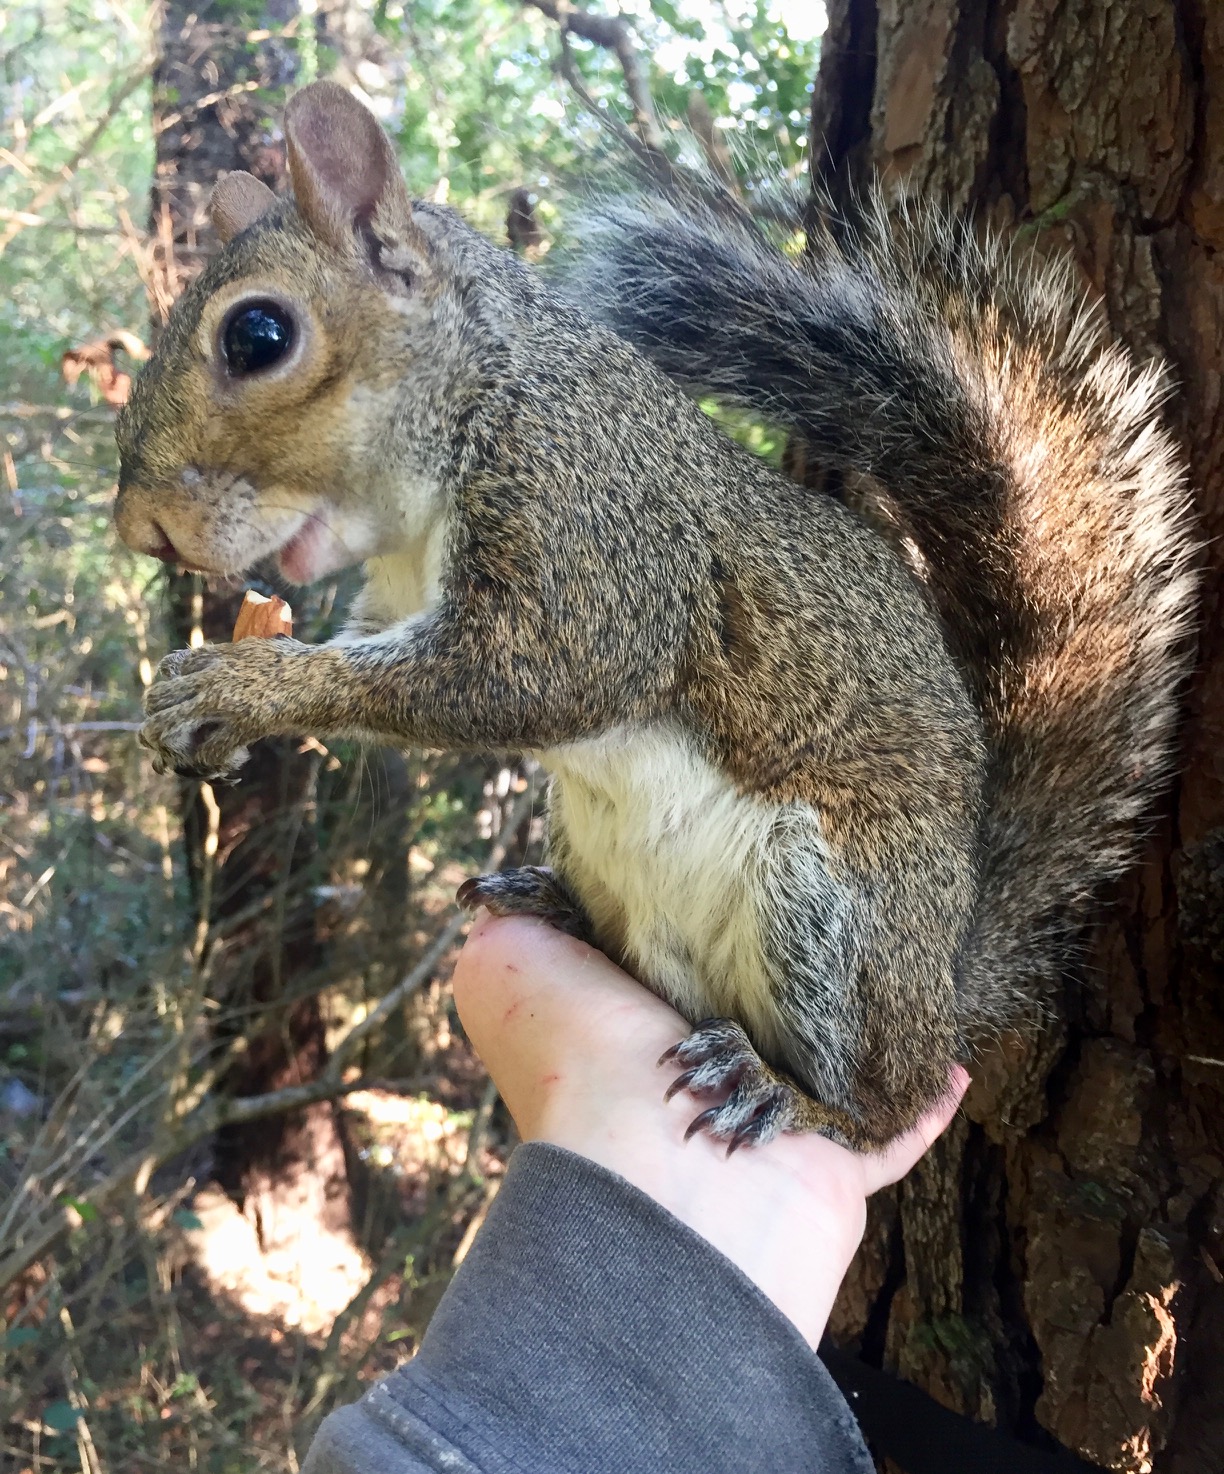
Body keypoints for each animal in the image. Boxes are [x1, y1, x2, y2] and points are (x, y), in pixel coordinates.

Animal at [112, 83, 1197, 1149]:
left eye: (258, 336)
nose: (139, 529)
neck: (474, 405)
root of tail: (947, 983)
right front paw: (196, 717)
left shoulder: (590, 534)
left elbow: (527, 676)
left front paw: (247, 686)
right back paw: (555, 905)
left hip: (839, 907)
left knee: (888, 1107)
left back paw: (792, 1096)